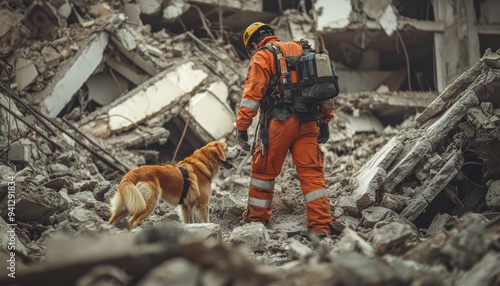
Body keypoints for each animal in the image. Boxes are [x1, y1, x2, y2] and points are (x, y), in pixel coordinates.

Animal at [108, 142, 241, 229]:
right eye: (227, 147)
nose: (239, 149)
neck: (203, 164)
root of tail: (134, 172)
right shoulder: (203, 204)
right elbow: (206, 220)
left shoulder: (187, 206)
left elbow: (189, 222)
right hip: (147, 204)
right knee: (132, 222)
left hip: (129, 204)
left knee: (113, 219)